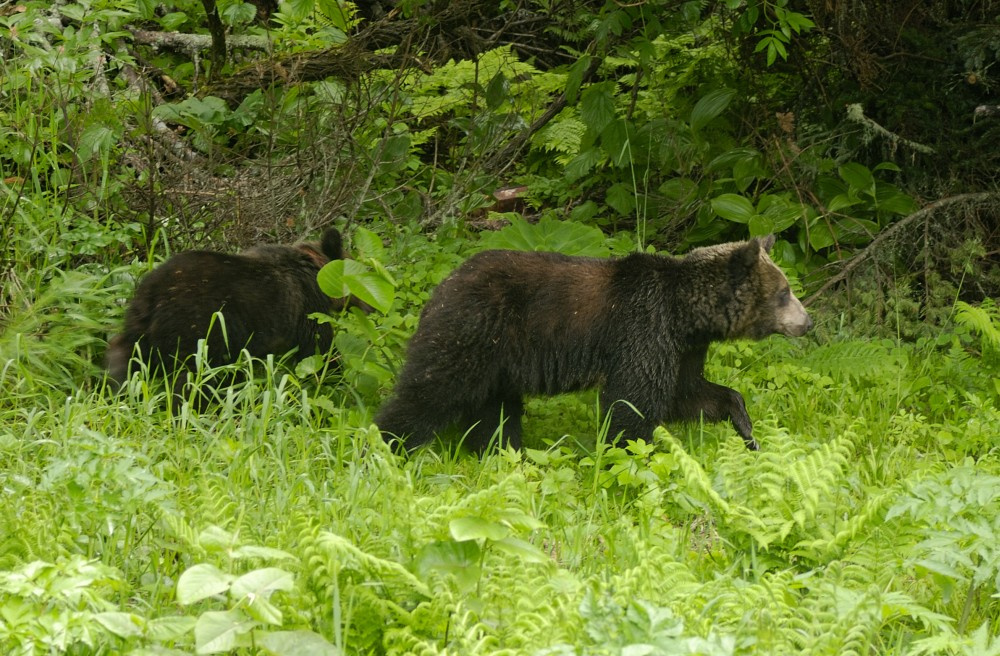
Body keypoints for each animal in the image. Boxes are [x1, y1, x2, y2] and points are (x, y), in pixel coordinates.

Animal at [106, 227, 368, 401]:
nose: (371, 307)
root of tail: (155, 294)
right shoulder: (307, 308)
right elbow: (319, 351)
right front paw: (340, 383)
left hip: (139, 323)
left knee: (125, 356)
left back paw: (117, 390)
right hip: (197, 329)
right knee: (192, 376)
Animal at [375, 234, 812, 453]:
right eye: (784, 292)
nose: (807, 322)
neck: (687, 313)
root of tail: (442, 285)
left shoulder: (685, 347)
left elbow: (687, 392)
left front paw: (745, 426)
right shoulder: (643, 328)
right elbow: (633, 401)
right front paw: (632, 452)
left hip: (498, 359)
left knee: (494, 411)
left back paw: (502, 451)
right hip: (473, 331)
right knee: (432, 391)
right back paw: (387, 442)